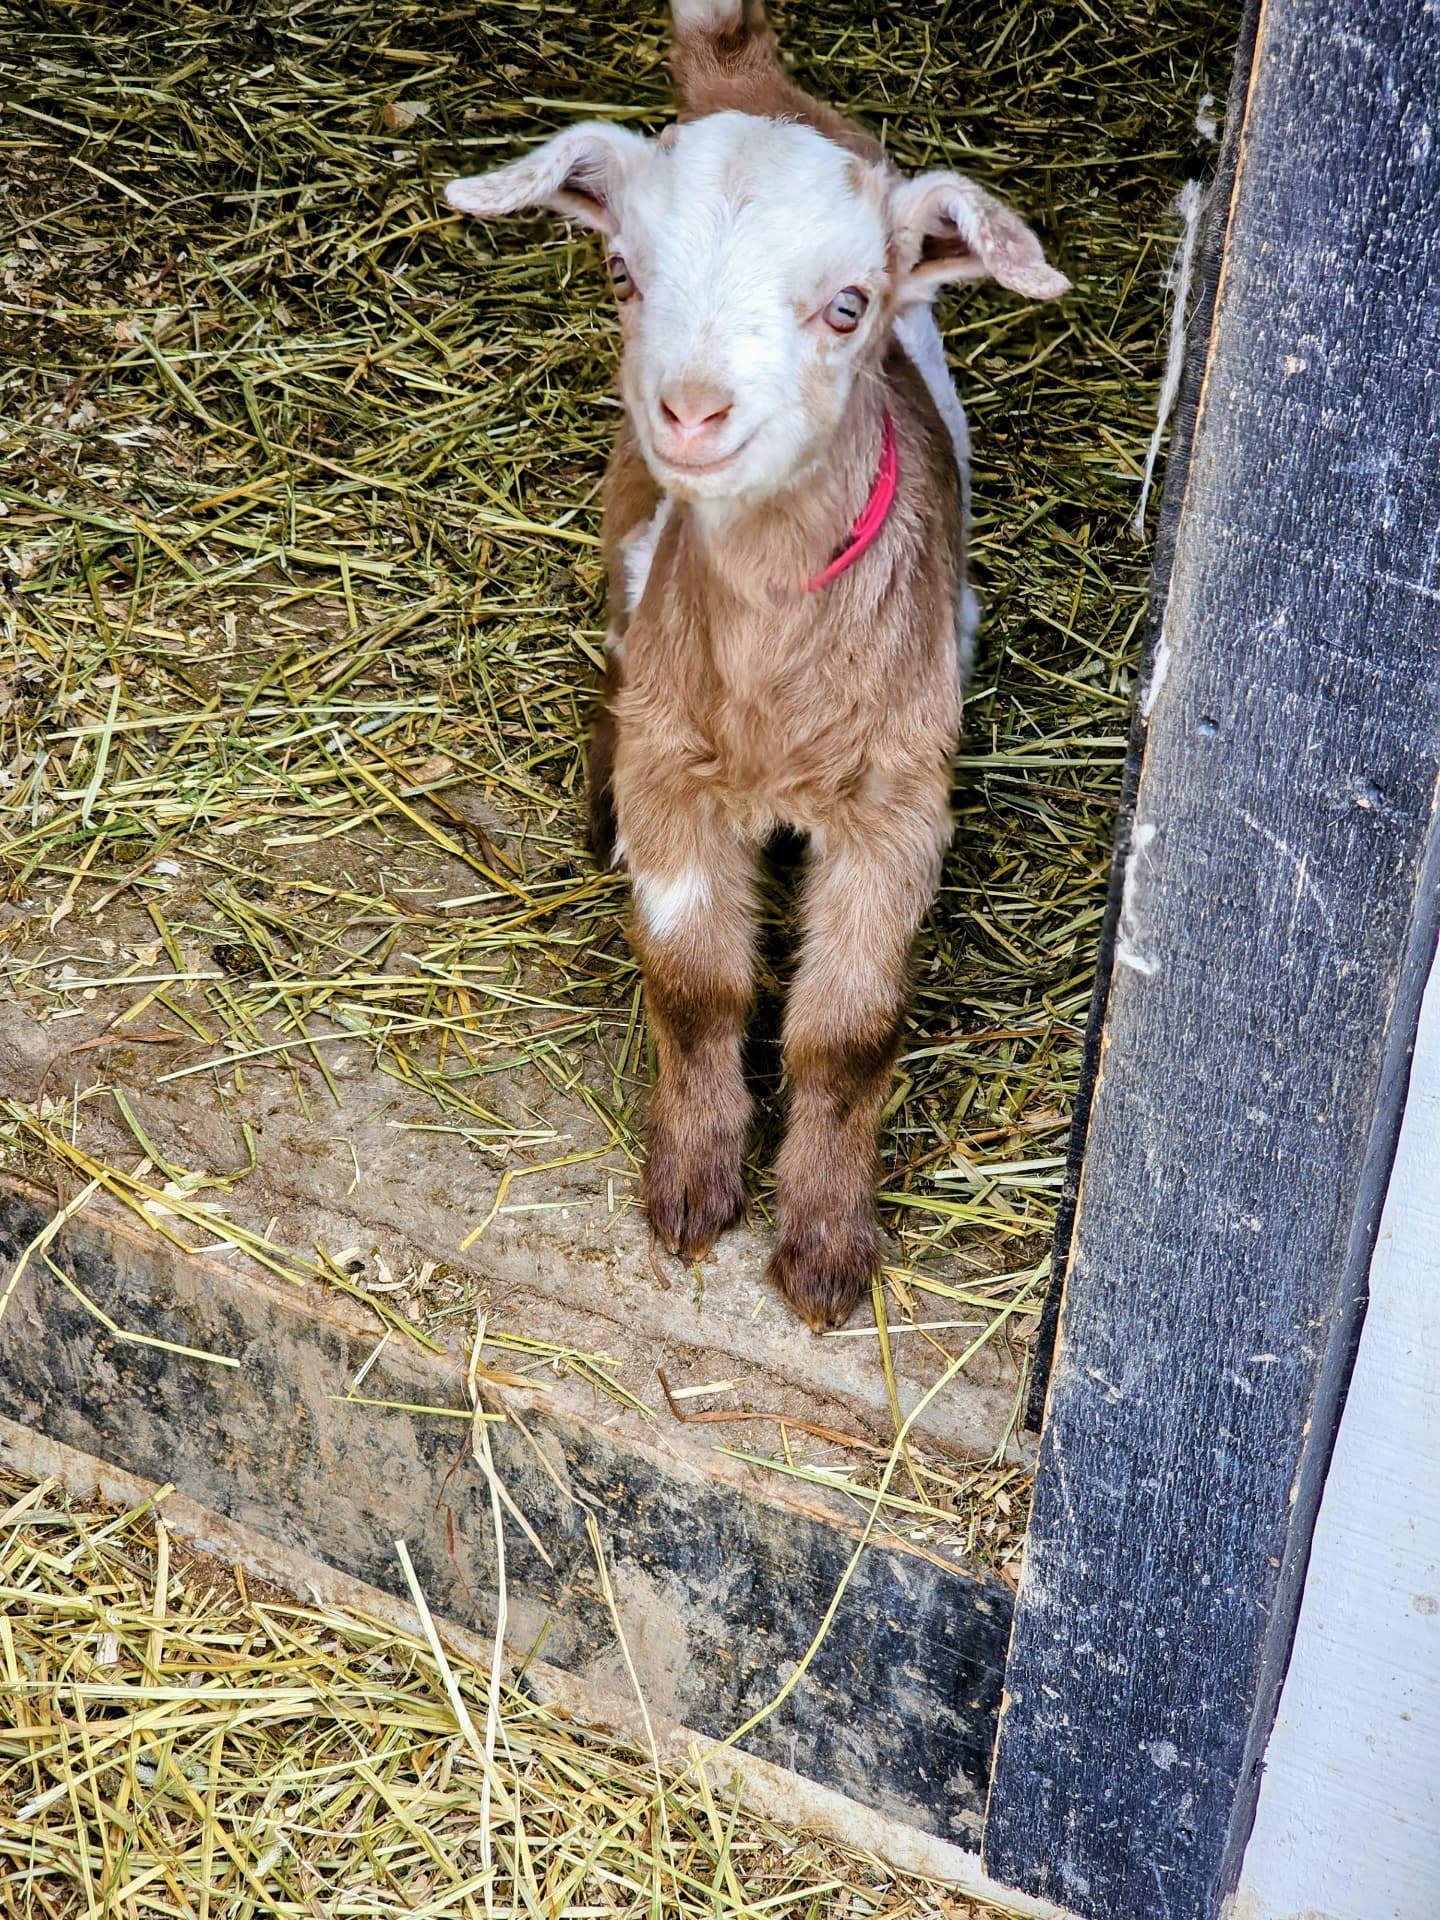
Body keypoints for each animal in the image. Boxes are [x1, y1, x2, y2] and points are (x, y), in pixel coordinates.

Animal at [446, 0, 1067, 1329]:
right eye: (623, 276)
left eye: (849, 306)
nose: (691, 413)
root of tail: (746, 76)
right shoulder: (677, 769)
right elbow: (696, 986)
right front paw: (692, 1186)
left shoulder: (896, 805)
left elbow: (849, 1028)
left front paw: (827, 1245)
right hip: (630, 540)